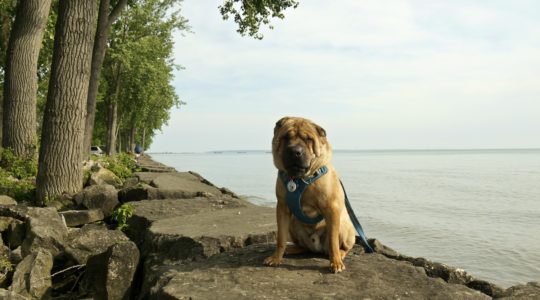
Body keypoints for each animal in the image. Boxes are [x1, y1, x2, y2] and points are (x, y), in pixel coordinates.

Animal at [264, 116, 356, 274]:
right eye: (286, 137)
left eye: (308, 139)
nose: (295, 151)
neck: (299, 179)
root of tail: (316, 247)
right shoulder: (282, 208)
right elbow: (281, 237)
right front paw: (276, 258)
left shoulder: (332, 209)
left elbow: (333, 241)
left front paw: (336, 263)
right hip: (293, 224)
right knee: (303, 246)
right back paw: (291, 249)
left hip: (344, 226)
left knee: (342, 246)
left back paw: (340, 254)